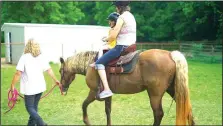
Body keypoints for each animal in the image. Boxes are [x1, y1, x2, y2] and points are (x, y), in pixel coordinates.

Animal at [58, 49, 194, 125]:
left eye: (60, 71)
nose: (62, 88)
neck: (92, 65)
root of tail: (170, 55)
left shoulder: (93, 92)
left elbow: (84, 105)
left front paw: (87, 121)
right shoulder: (108, 94)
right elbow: (108, 111)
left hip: (155, 95)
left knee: (158, 114)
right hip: (173, 90)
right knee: (187, 109)